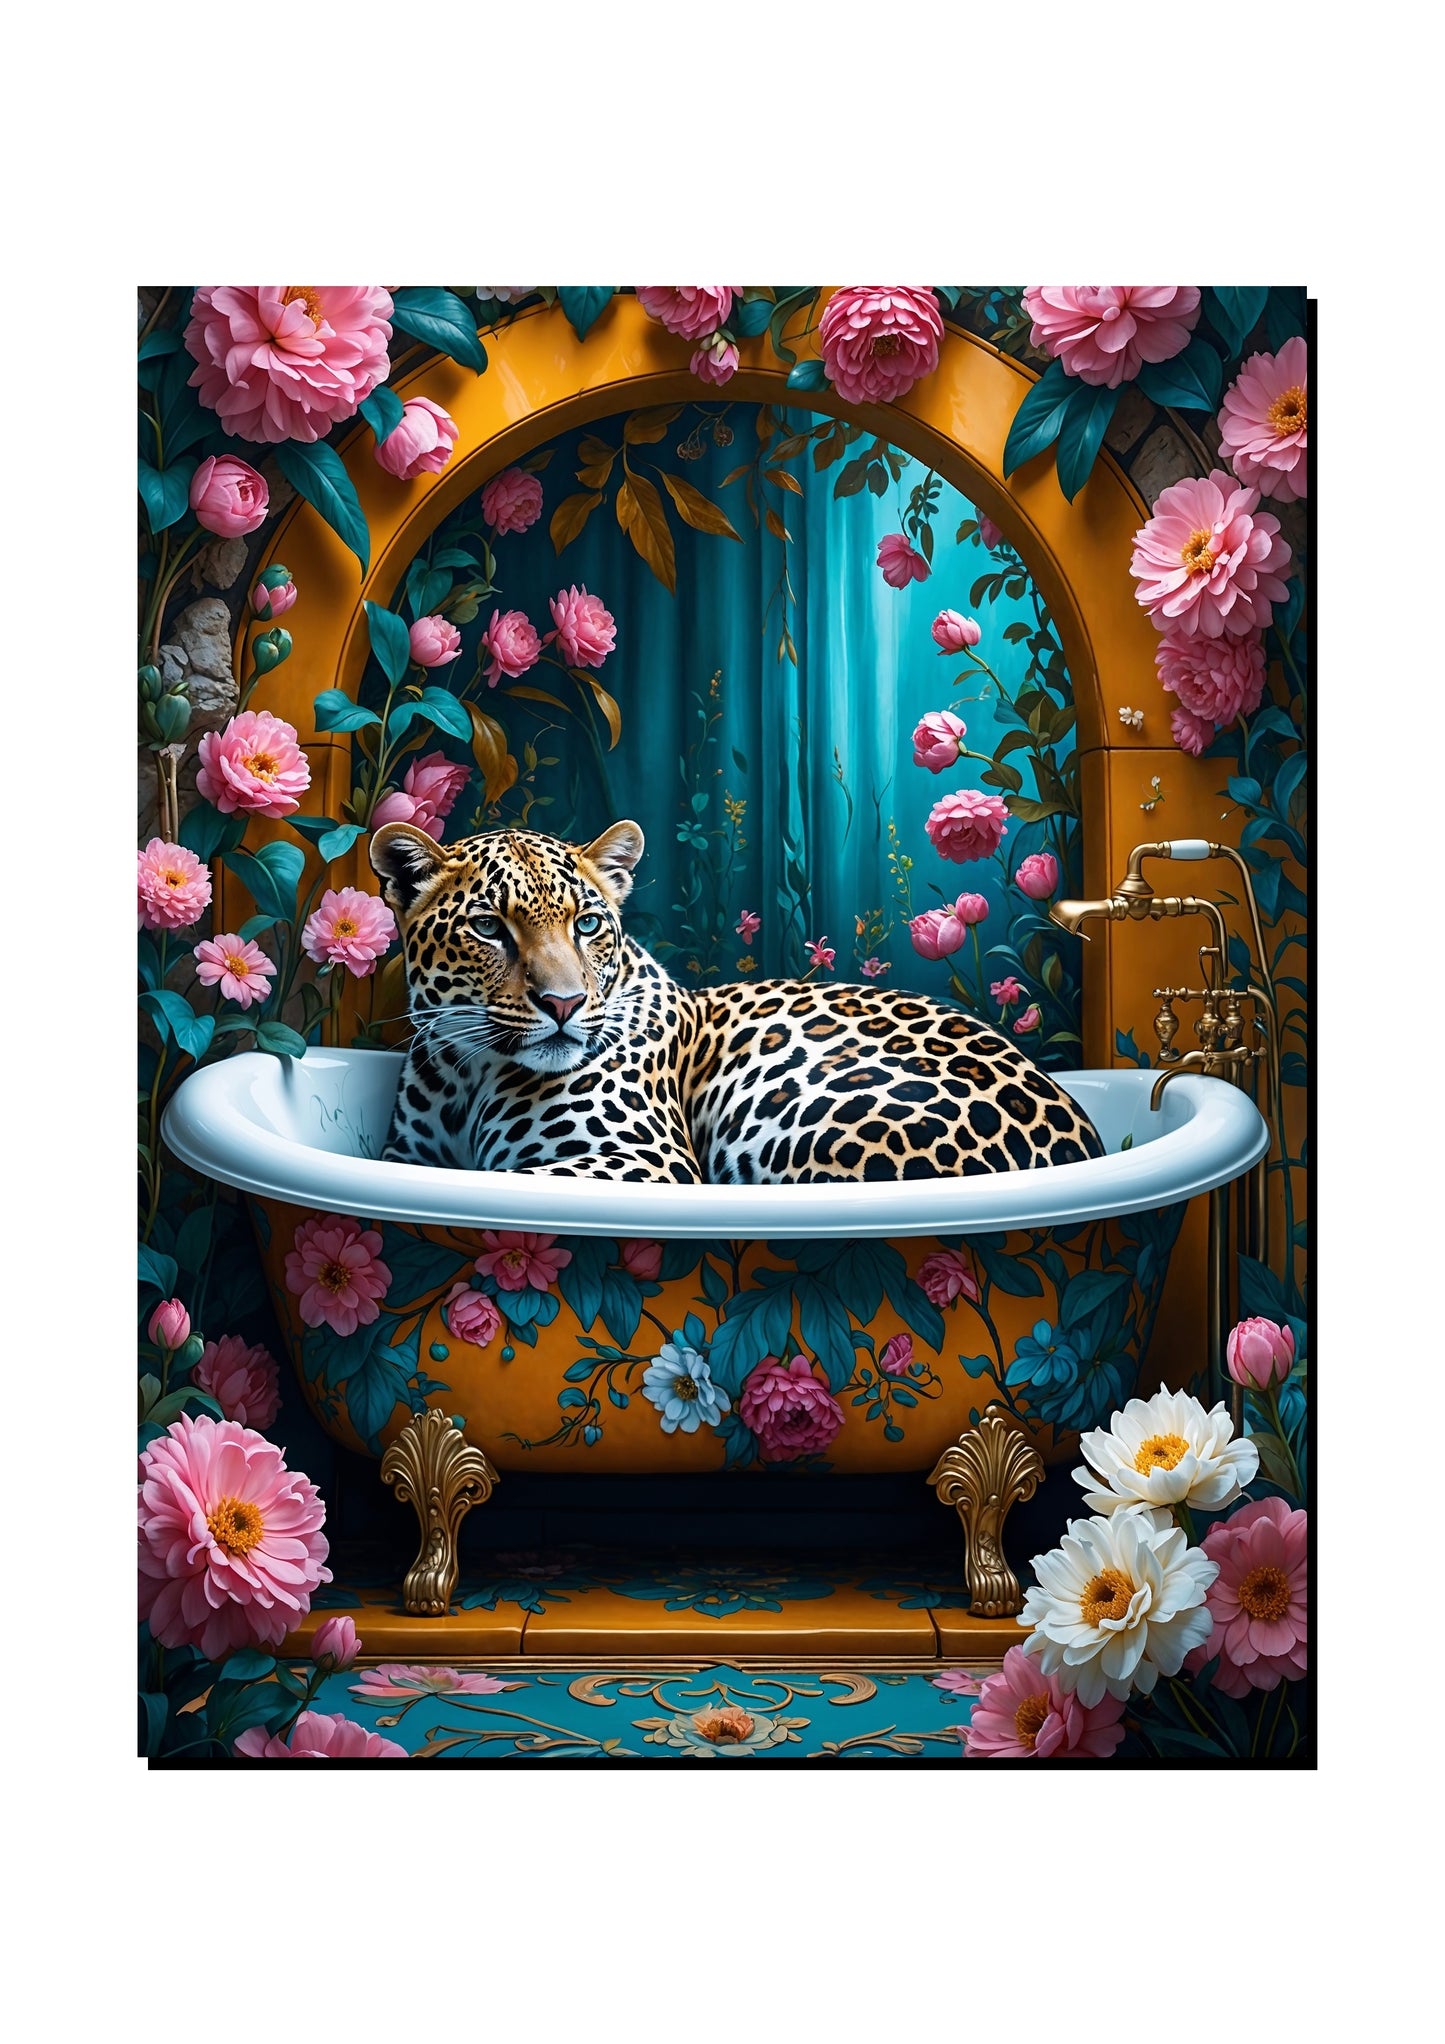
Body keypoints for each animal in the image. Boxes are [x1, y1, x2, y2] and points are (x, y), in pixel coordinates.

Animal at [370, 818, 1107, 1184]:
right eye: (489, 928)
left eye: (587, 923)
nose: (564, 1004)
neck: (469, 1074)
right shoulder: (407, 1159)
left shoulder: (643, 1159)